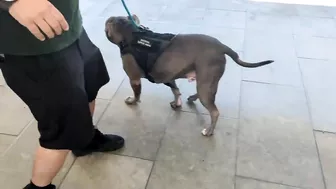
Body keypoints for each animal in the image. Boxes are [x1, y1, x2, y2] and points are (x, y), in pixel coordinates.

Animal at [105, 14, 276, 136]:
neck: (131, 33)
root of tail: (222, 47)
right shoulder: (170, 76)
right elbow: (175, 90)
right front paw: (177, 102)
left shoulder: (134, 79)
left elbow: (137, 94)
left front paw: (133, 101)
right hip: (206, 82)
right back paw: (193, 98)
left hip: (205, 84)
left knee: (214, 111)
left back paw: (209, 131)